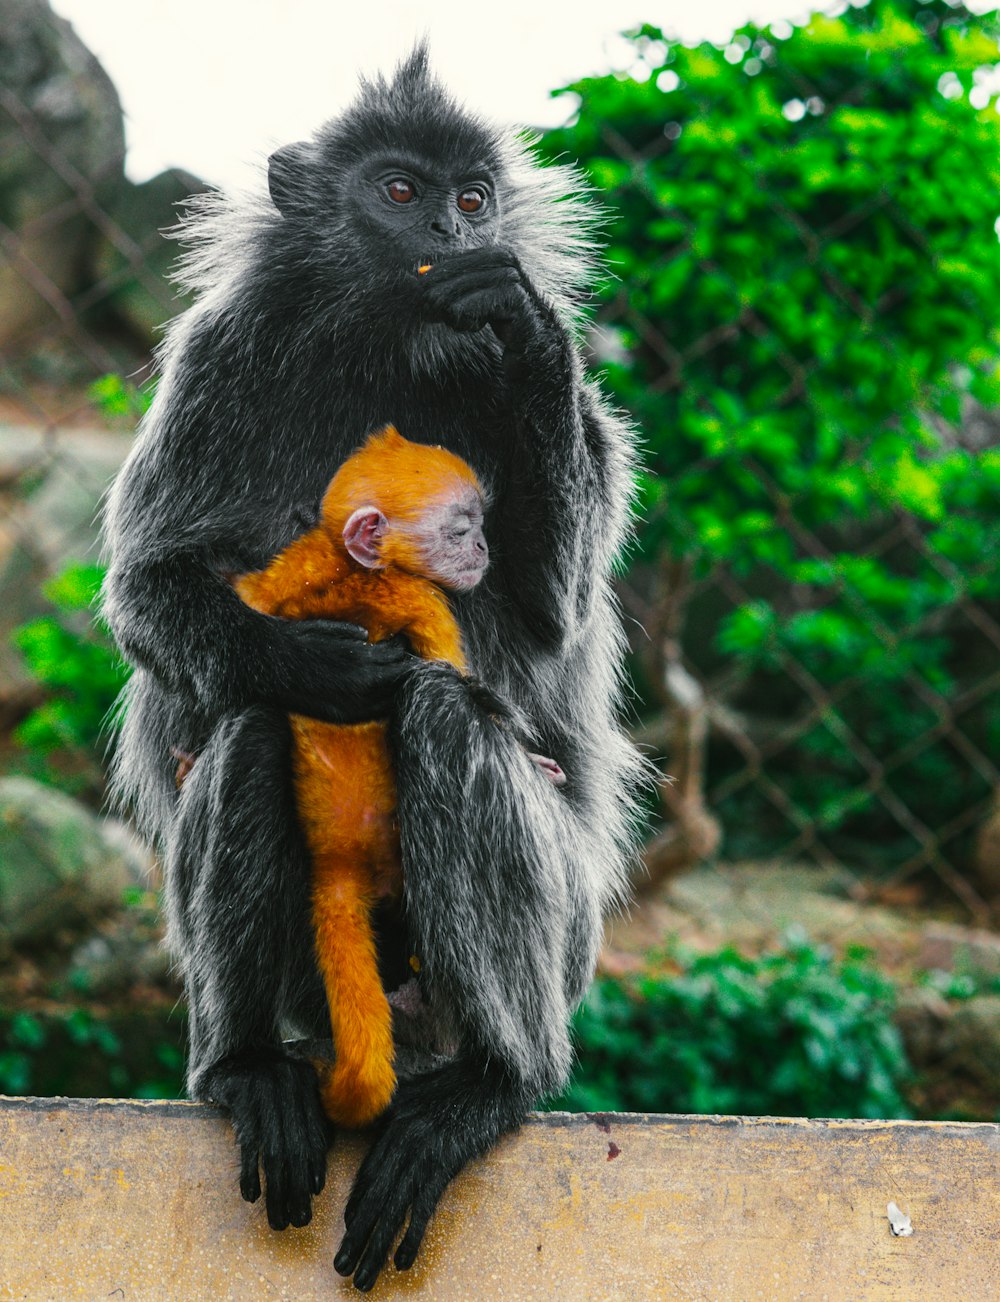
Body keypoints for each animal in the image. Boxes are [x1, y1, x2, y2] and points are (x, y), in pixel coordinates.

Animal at [230, 429, 489, 1130]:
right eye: (463, 528)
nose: (484, 549)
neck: (349, 568)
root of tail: (340, 862)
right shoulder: (419, 597)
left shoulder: (286, 568)